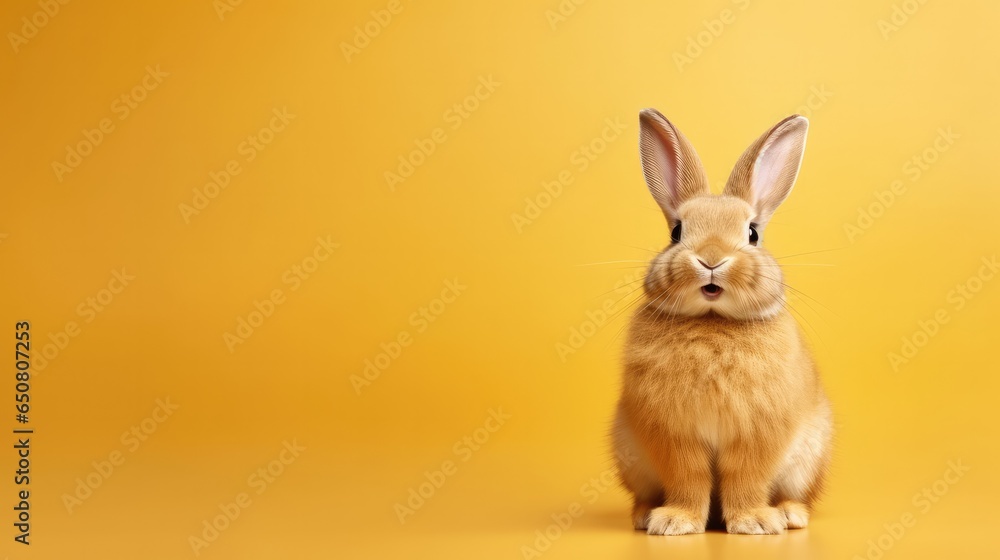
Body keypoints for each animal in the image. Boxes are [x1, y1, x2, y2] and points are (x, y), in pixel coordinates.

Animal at [612, 109, 833, 535]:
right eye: (676, 231)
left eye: (753, 234)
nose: (711, 258)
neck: (713, 322)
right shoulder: (674, 435)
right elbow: (688, 477)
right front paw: (676, 523)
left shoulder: (757, 434)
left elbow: (745, 476)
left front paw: (754, 523)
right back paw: (644, 516)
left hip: (808, 459)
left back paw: (789, 515)